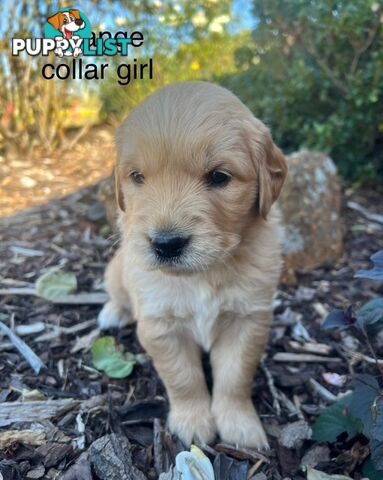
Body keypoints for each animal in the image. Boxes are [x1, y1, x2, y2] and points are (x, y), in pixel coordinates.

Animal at [99, 82, 288, 450]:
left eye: (219, 177)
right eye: (137, 177)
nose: (166, 244)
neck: (203, 274)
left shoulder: (248, 320)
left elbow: (235, 376)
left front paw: (239, 425)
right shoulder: (159, 325)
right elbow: (183, 377)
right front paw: (192, 422)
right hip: (115, 270)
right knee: (117, 294)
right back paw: (113, 312)